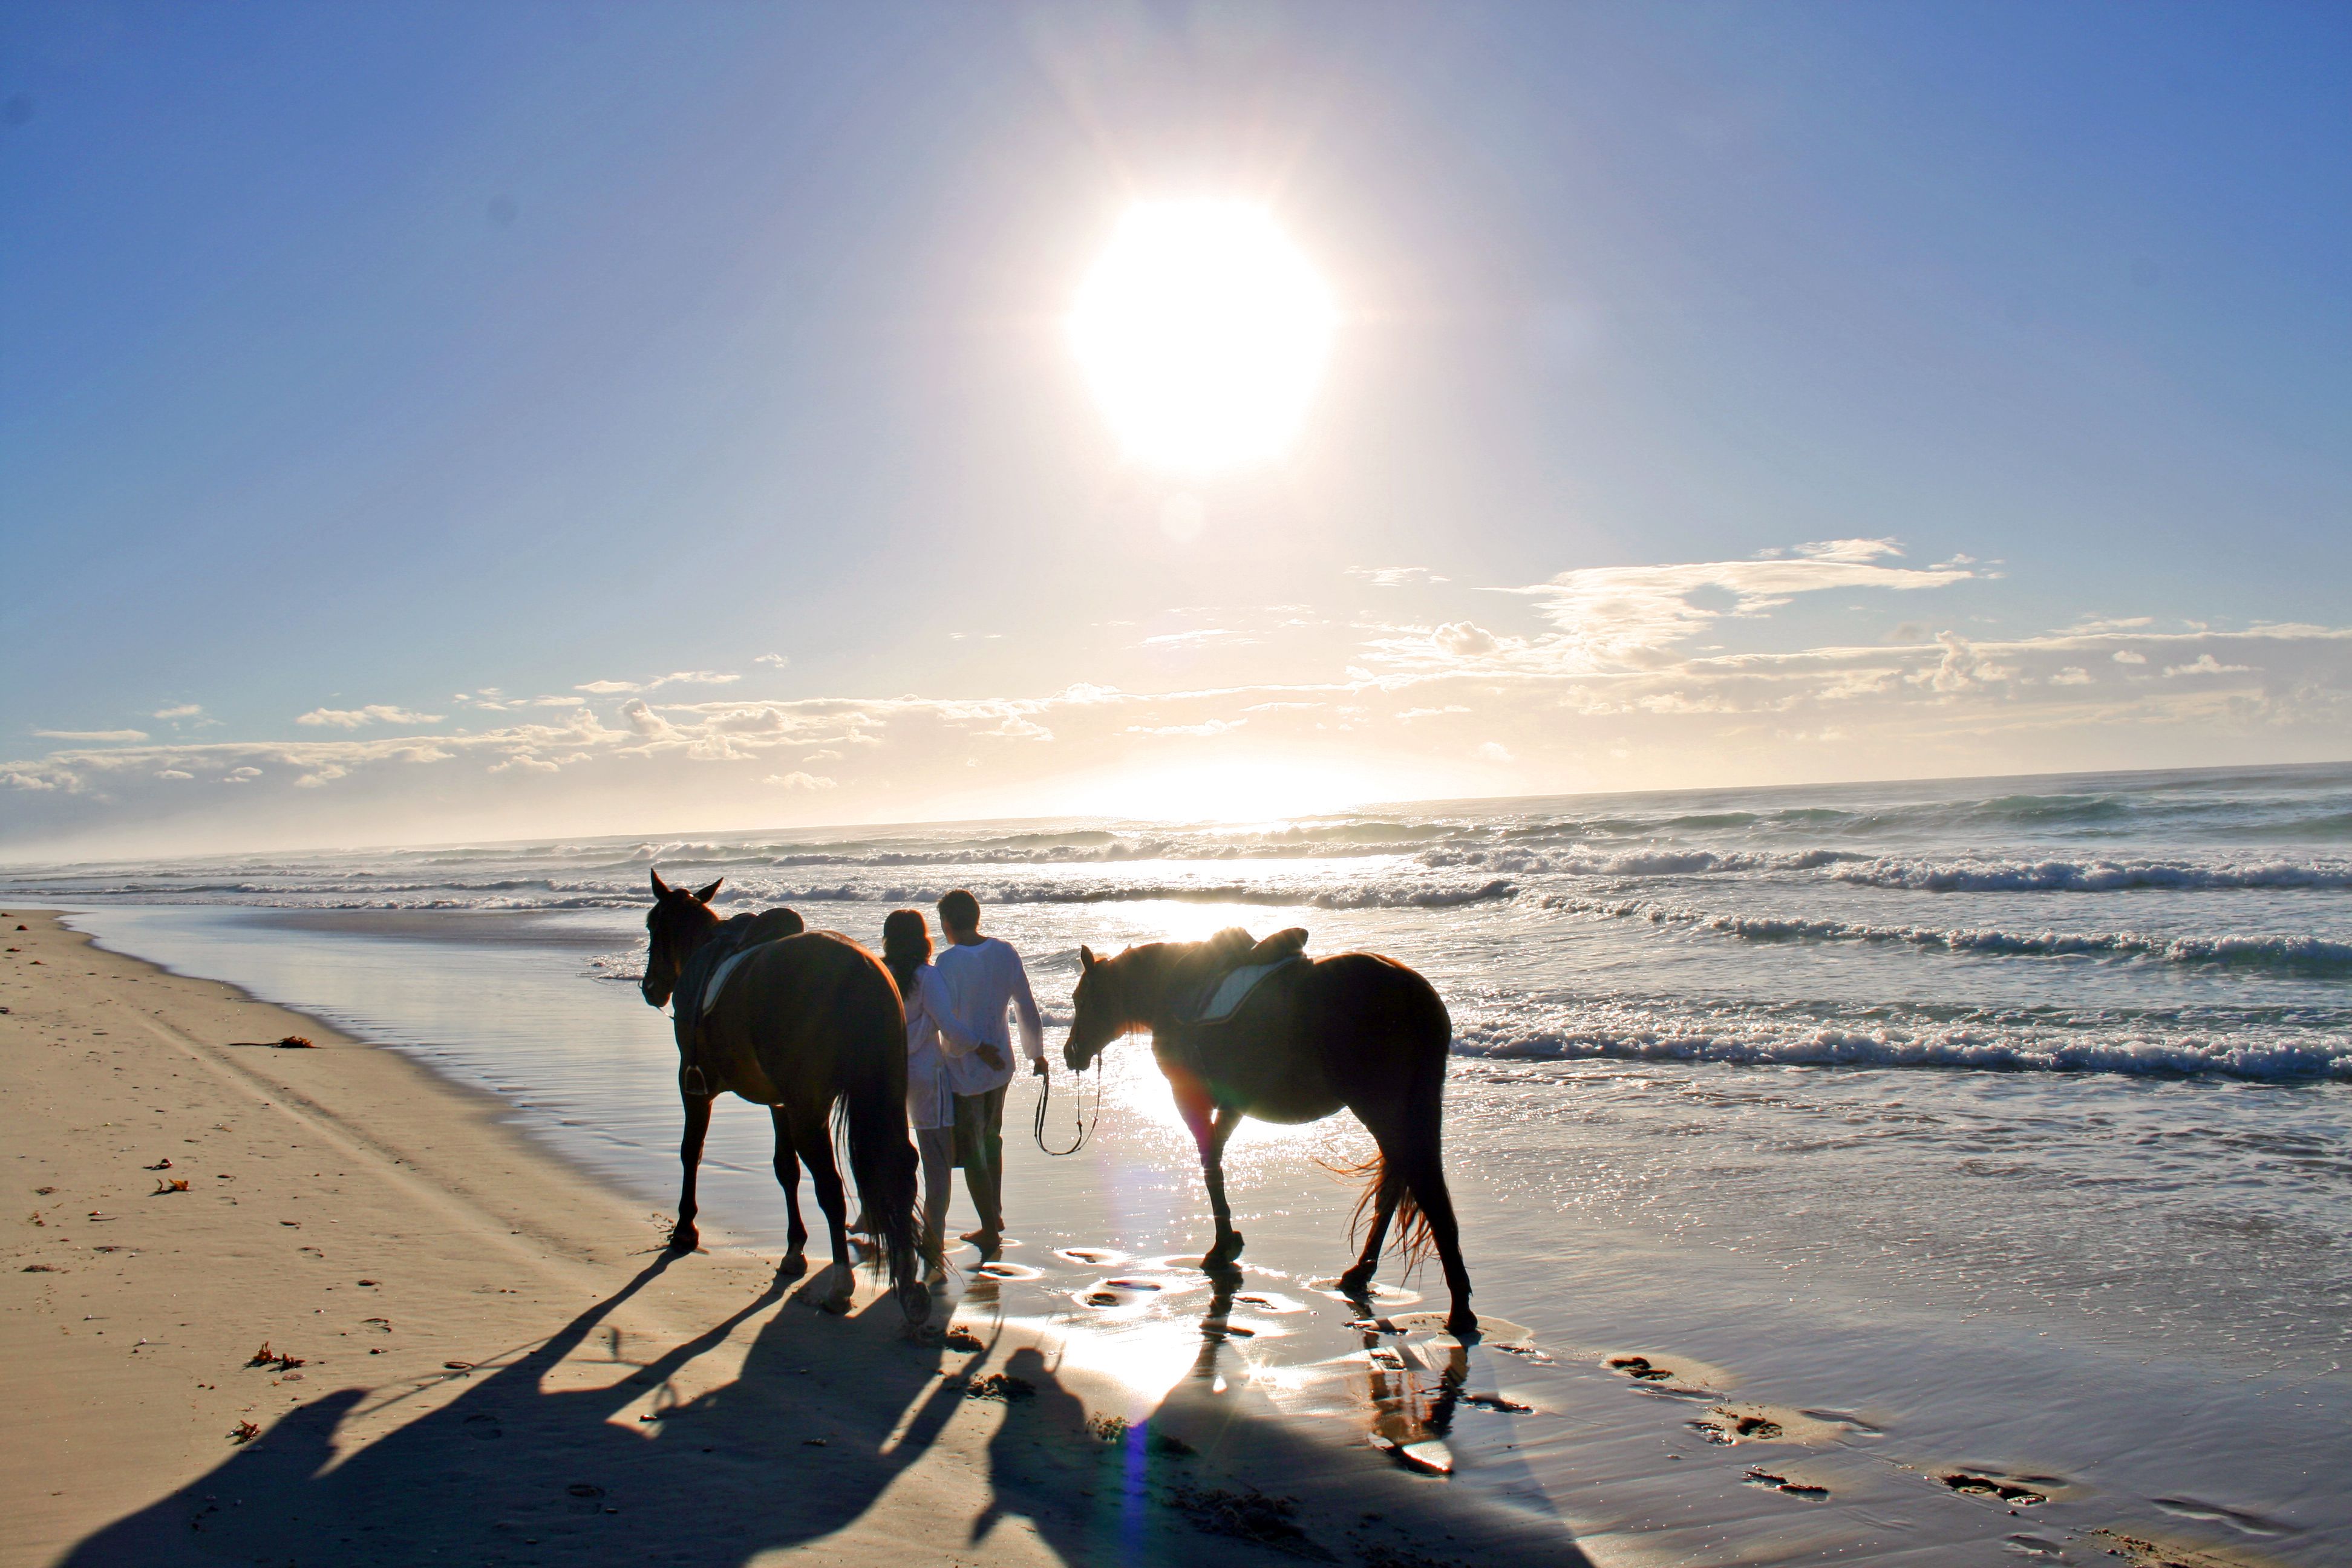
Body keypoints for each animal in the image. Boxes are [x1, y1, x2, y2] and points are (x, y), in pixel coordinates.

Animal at [639, 869, 922, 1325]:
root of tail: (858, 968)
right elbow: (785, 1169)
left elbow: (691, 1151)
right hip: (884, 1094)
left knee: (830, 1186)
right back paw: (911, 1280)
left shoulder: (693, 1085)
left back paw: (841, 1285)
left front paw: (684, 1228)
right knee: (902, 1167)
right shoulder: (780, 1103)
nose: (650, 988)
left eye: (653, 925)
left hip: (810, 1112)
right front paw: (793, 1249)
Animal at [1063, 930, 1468, 1335]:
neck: (1173, 986)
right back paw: (1363, 1275)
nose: (1071, 1053)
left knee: (1421, 1189)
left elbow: (1209, 1164)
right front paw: (1226, 1242)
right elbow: (1215, 1158)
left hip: (1380, 1108)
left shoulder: (1190, 1098)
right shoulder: (1233, 1104)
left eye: (1081, 999)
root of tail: (1419, 998)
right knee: (1397, 1187)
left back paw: (1458, 1309)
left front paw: (1223, 1245)